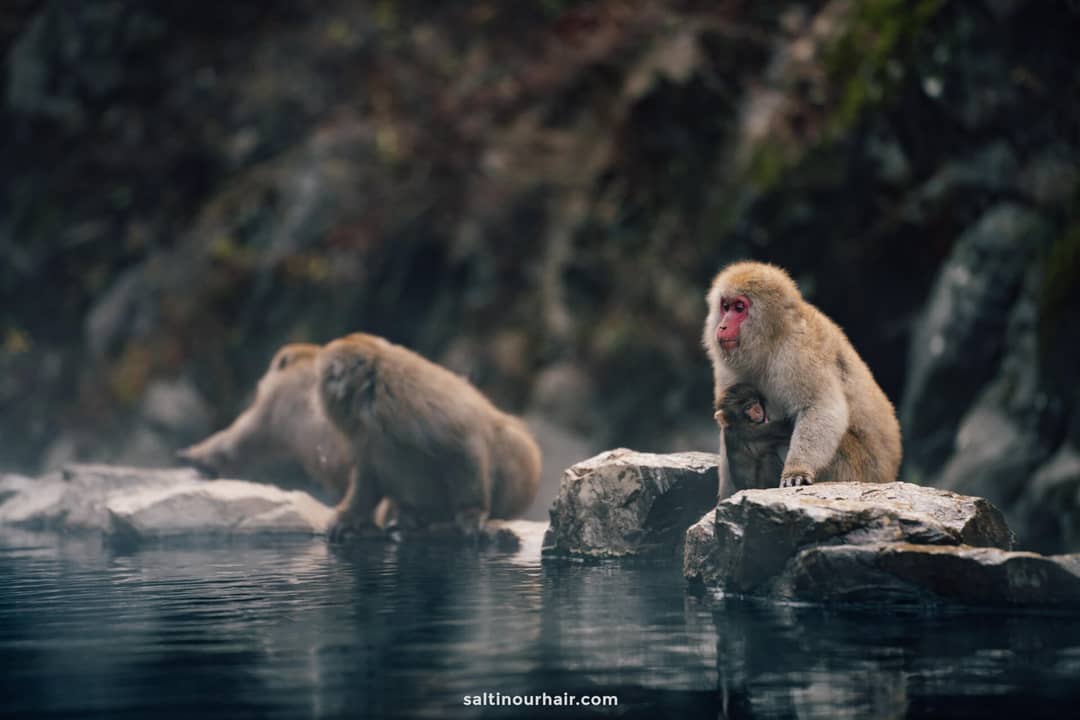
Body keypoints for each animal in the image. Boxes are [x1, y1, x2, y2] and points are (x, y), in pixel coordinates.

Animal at [315, 332, 542, 540]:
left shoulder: (404, 400)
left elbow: (462, 441)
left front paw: (471, 512)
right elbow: (370, 472)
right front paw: (348, 517)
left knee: (510, 439)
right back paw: (409, 516)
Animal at [703, 261, 902, 488]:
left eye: (739, 308)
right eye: (725, 307)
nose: (722, 326)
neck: (772, 341)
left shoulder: (798, 351)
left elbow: (819, 407)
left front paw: (796, 469)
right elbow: (729, 422)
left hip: (855, 469)